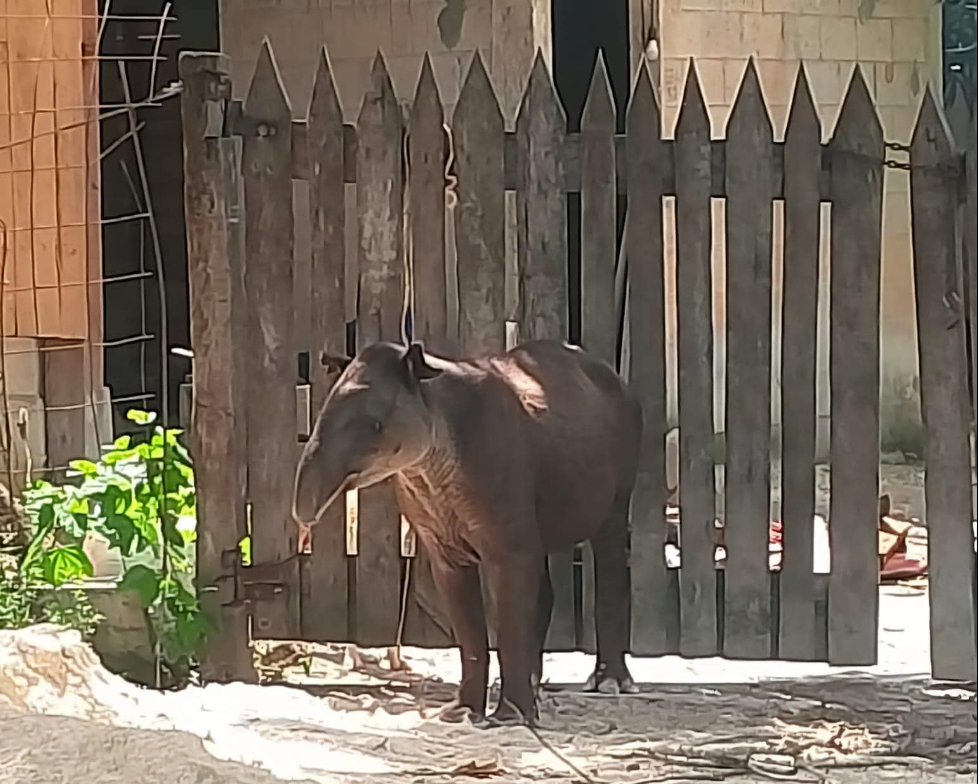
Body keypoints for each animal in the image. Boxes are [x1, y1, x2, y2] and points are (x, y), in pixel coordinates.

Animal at [290, 340, 640, 724]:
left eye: (375, 424)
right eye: (320, 414)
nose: (303, 515)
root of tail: (613, 375)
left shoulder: (506, 527)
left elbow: (510, 621)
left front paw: (511, 716)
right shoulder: (442, 543)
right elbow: (469, 631)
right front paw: (461, 711)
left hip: (619, 482)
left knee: (609, 559)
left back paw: (609, 681)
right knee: (544, 589)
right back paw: (533, 685)